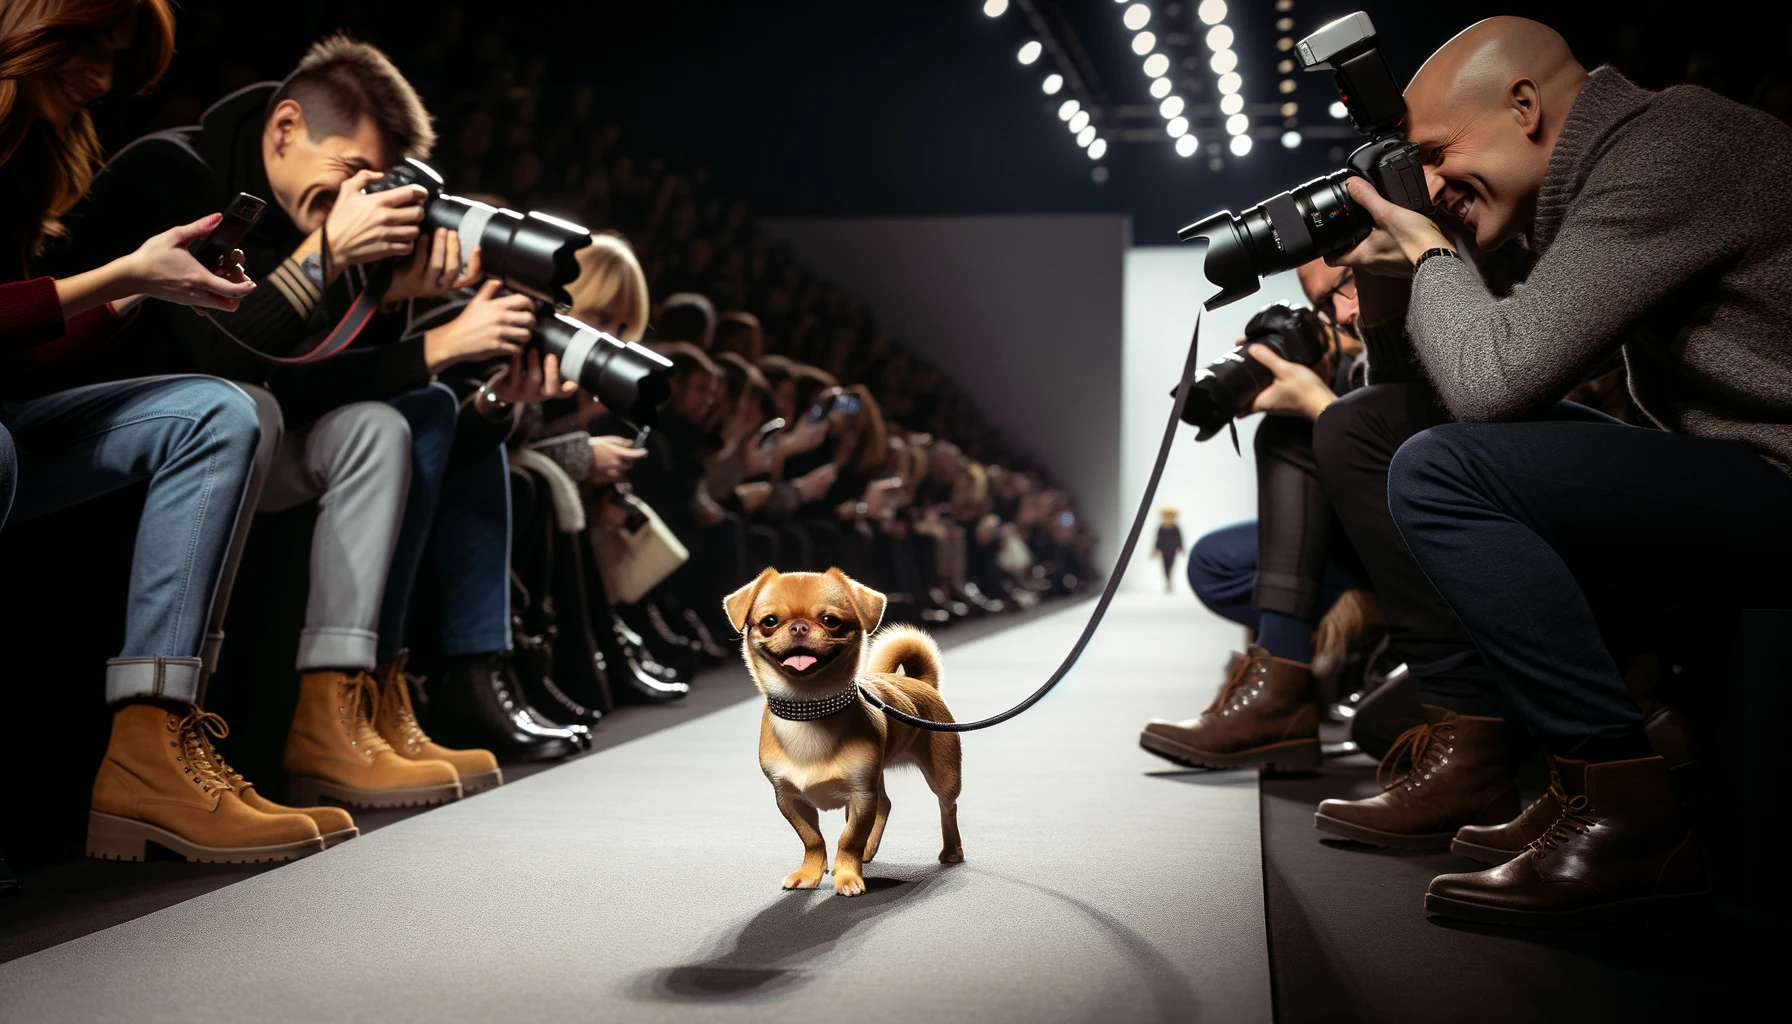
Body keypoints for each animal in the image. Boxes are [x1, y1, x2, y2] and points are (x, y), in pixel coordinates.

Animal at [720, 570, 967, 896]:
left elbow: (848, 839)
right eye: (769, 621)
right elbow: (812, 838)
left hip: (944, 776)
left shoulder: (861, 794)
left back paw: (952, 851)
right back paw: (868, 851)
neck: (810, 708)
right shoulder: (788, 798)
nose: (799, 626)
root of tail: (919, 682)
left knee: (947, 807)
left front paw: (848, 877)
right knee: (885, 804)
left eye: (830, 620)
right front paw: (810, 873)